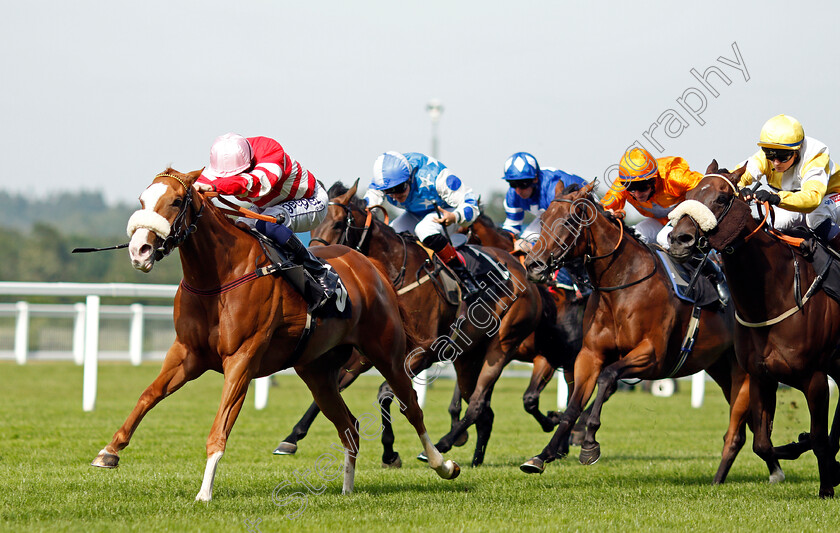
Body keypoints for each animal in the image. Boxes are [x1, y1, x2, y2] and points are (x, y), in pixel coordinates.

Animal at [90, 169, 460, 498]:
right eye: (143, 199)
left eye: (177, 200)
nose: (139, 250)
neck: (220, 277)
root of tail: (373, 267)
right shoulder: (186, 354)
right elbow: (148, 396)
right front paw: (109, 451)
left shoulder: (241, 359)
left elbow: (220, 425)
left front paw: (204, 492)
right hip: (318, 371)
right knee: (349, 427)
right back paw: (347, 488)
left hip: (387, 352)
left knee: (411, 406)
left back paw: (442, 464)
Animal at [516, 181, 784, 484]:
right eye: (543, 220)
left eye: (569, 221)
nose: (533, 265)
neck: (622, 285)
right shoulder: (589, 355)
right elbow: (573, 405)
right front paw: (544, 454)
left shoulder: (652, 355)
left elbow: (607, 378)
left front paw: (589, 444)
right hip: (720, 367)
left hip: (744, 373)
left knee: (739, 429)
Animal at [668, 162, 840, 498]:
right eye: (689, 194)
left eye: (722, 198)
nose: (678, 239)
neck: (775, 297)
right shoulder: (760, 375)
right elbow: (762, 443)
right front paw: (795, 452)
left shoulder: (815, 378)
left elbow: (819, 438)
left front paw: (827, 485)